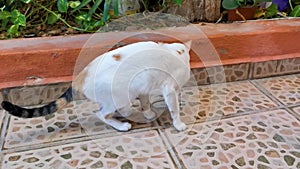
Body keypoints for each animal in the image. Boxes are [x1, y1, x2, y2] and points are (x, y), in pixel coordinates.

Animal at [1, 41, 191, 132]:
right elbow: (174, 109)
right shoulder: (169, 89)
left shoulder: (144, 86)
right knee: (101, 114)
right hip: (120, 96)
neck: (175, 51)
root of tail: (79, 78)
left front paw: (149, 113)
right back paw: (122, 124)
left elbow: (145, 102)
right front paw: (178, 124)